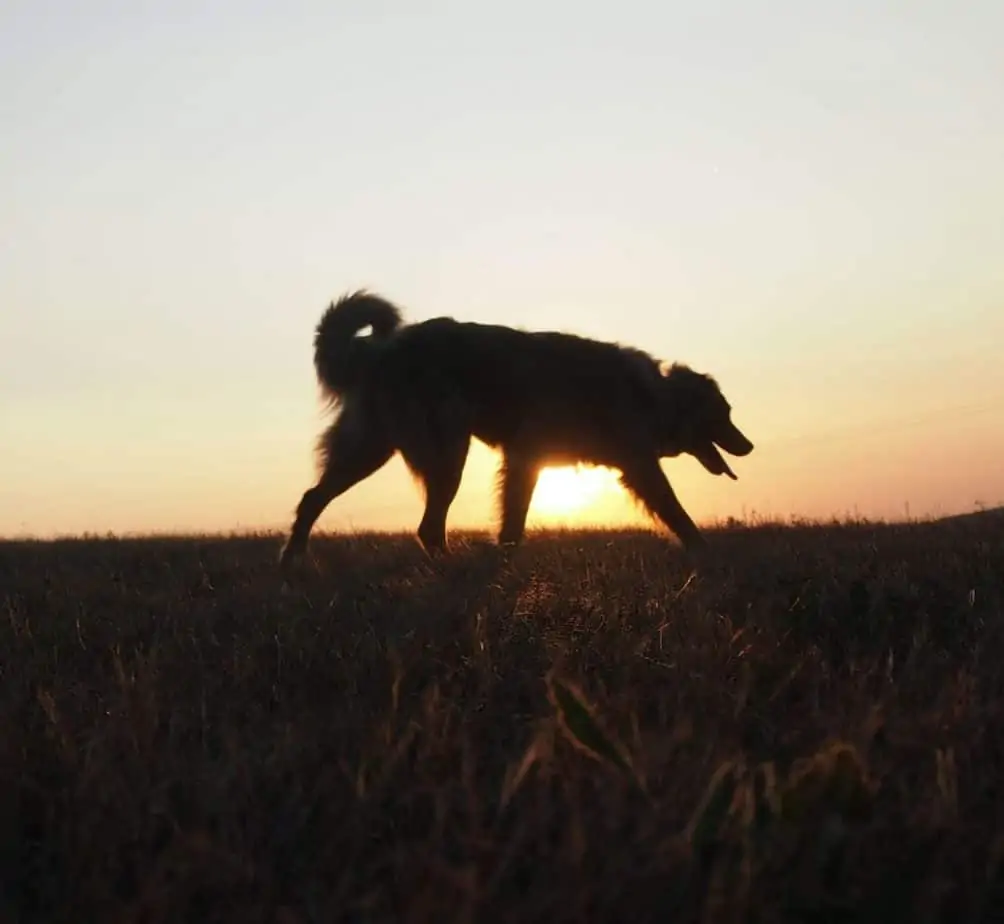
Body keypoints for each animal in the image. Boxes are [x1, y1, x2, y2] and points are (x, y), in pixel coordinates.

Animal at [279, 293, 750, 574]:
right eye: (723, 414)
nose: (748, 445)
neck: (654, 396)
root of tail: (377, 349)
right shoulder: (628, 466)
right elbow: (677, 511)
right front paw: (704, 552)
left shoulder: (533, 460)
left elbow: (513, 521)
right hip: (447, 455)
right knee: (427, 527)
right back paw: (451, 567)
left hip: (370, 450)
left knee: (313, 497)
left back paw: (293, 559)